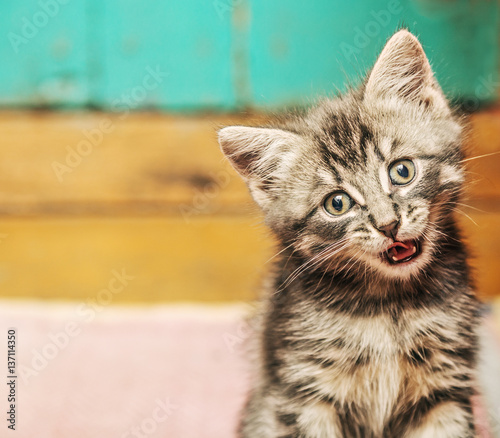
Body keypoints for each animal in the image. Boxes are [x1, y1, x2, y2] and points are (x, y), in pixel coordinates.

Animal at [218, 30, 480, 438]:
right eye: (337, 203)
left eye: (402, 171)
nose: (388, 224)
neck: (389, 306)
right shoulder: (304, 391)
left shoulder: (445, 390)